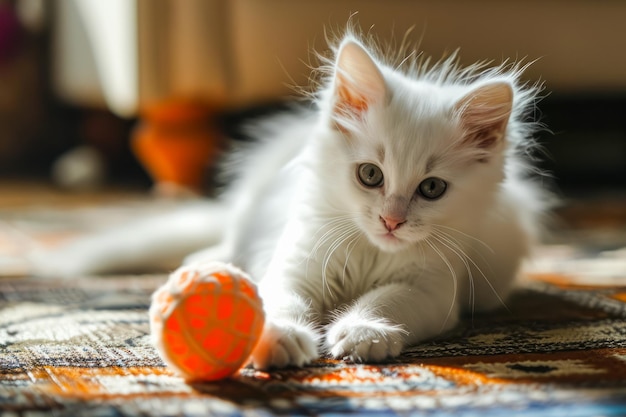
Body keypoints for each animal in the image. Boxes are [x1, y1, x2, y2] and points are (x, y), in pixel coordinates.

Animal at [33, 32, 544, 368]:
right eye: (370, 175)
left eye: (432, 189)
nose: (392, 221)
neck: (370, 250)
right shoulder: (297, 262)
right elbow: (280, 300)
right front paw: (279, 337)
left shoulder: (435, 288)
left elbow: (387, 302)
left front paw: (364, 331)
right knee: (229, 239)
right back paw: (205, 260)